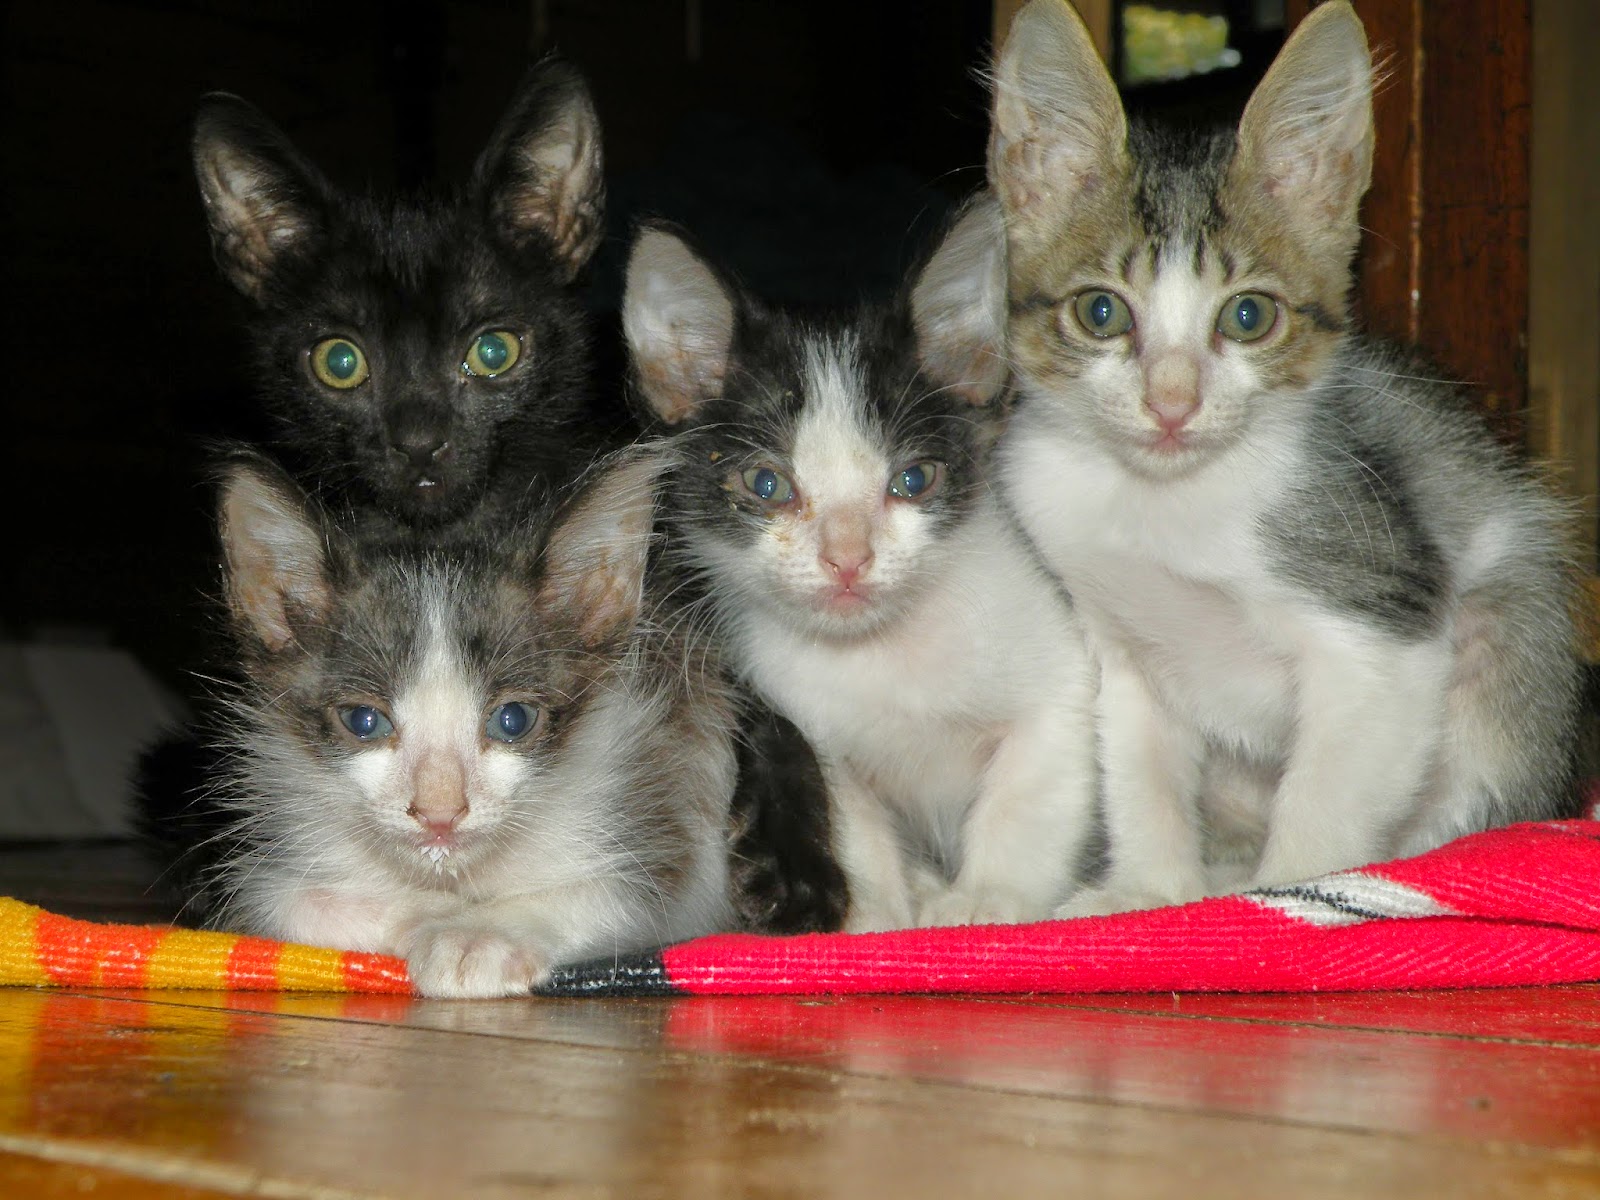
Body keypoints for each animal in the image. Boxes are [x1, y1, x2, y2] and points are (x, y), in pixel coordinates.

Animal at [198, 447, 736, 997]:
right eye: (364, 720)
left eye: (513, 720)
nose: (440, 812)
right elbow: (284, 900)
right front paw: (425, 915)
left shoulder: (656, 808)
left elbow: (630, 894)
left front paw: (480, 937)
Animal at [621, 200, 1100, 931]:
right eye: (767, 485)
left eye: (913, 479)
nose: (847, 559)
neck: (887, 652)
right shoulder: (800, 715)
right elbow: (851, 820)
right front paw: (876, 916)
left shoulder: (1057, 677)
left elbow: (1030, 795)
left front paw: (990, 898)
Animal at [984, 0, 1582, 914]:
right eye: (1099, 311)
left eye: (1248, 317)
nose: (1171, 402)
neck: (1166, 502)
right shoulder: (1118, 644)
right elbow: (1141, 773)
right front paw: (1150, 890)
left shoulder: (1381, 620)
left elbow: (1329, 799)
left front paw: (1294, 893)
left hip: (1507, 632)